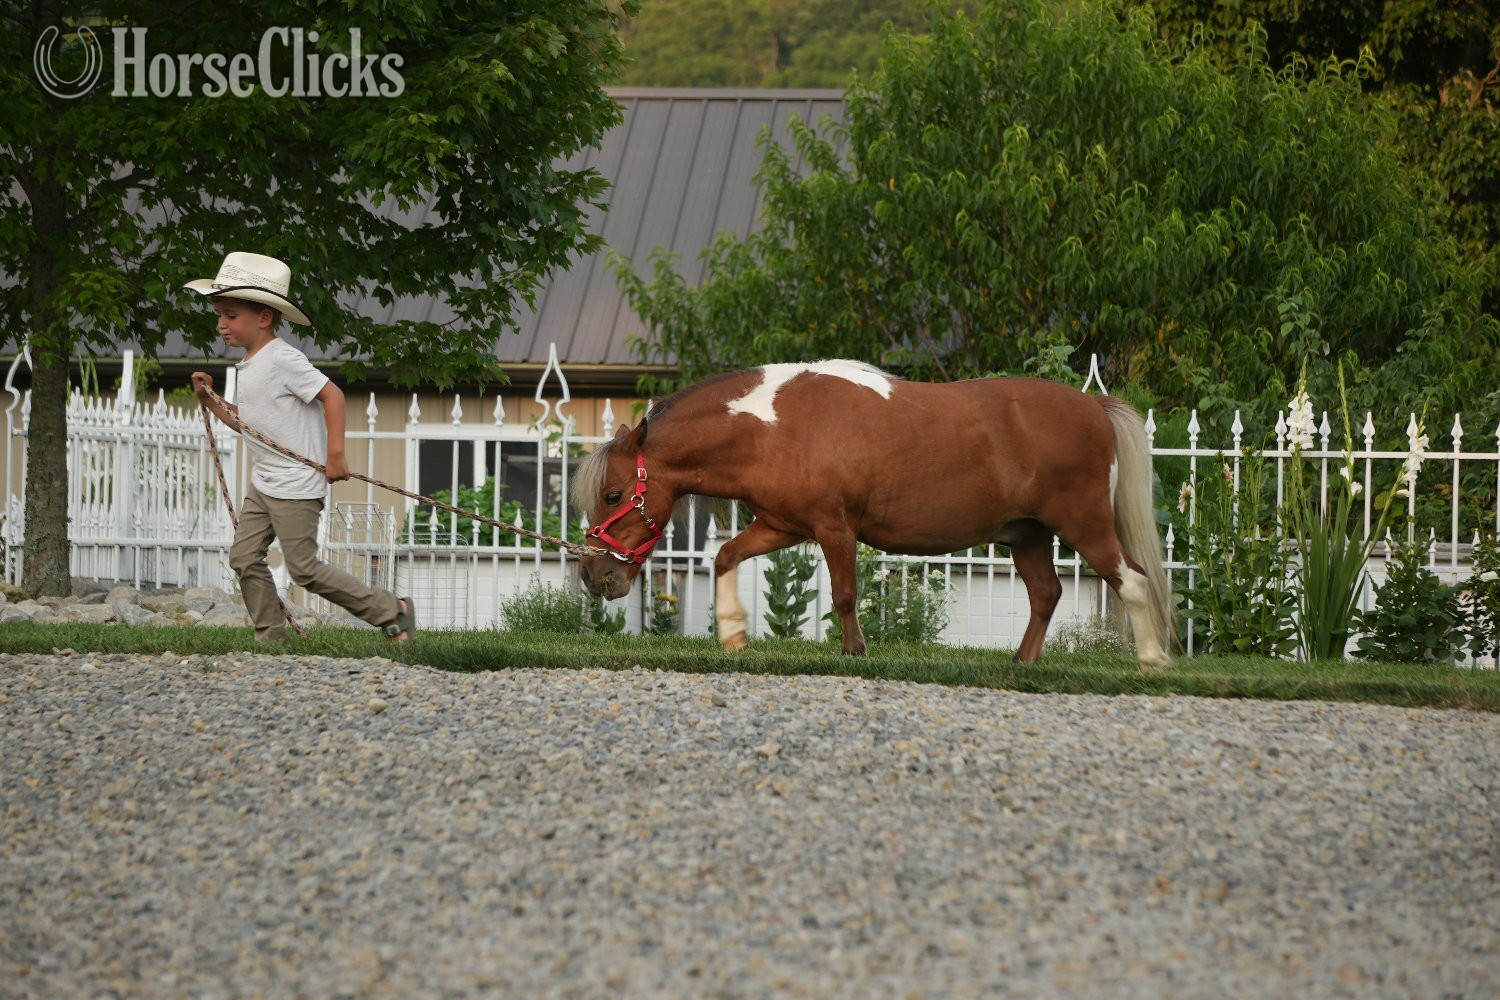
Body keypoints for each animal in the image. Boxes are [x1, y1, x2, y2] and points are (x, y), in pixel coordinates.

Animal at [573, 360, 1174, 669]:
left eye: (613, 495)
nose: (593, 574)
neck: (775, 426)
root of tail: (1093, 405)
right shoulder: (782, 526)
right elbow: (725, 558)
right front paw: (733, 635)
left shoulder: (834, 528)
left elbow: (843, 594)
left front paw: (854, 651)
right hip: (1027, 536)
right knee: (1046, 594)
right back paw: (1022, 664)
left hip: (1084, 525)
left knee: (1133, 581)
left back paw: (1152, 662)